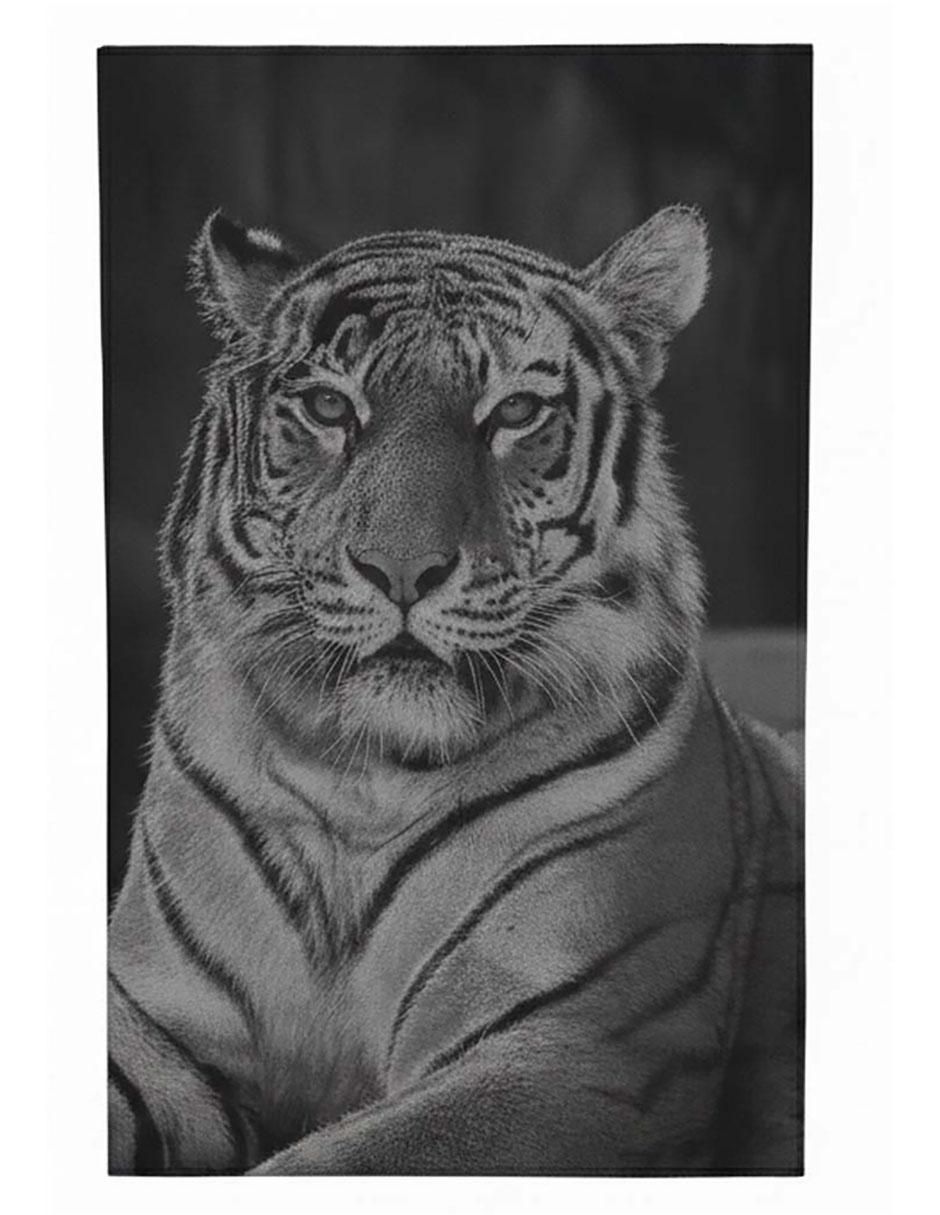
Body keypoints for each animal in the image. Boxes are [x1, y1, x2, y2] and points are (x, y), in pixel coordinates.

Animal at [107, 205, 804, 1176]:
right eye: (330, 407)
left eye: (513, 411)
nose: (403, 570)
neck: (362, 779)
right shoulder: (153, 1015)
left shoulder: (575, 1049)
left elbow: (339, 1163)